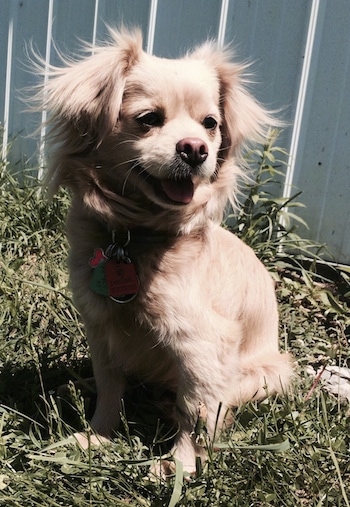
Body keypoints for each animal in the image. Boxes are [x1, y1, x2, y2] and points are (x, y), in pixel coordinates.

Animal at [37, 27, 292, 472]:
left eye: (211, 125)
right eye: (148, 119)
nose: (196, 148)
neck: (134, 237)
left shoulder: (203, 344)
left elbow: (195, 412)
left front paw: (179, 467)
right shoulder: (102, 329)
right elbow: (109, 389)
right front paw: (97, 438)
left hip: (264, 374)